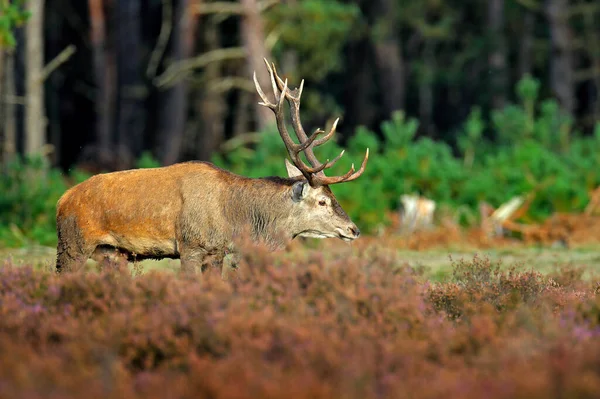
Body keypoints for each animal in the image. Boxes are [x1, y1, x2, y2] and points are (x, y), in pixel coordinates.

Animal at [56, 59, 368, 276]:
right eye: (323, 201)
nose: (354, 230)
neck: (234, 217)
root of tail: (61, 200)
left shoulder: (216, 252)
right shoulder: (191, 246)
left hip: (111, 254)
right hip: (72, 245)